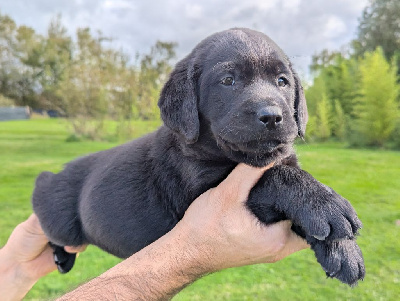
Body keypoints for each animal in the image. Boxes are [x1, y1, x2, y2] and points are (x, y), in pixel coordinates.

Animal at [32, 29, 364, 284]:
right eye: (228, 80)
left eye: (282, 81)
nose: (272, 116)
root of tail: (52, 175)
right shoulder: (203, 188)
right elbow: (275, 177)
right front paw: (325, 205)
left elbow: (284, 172)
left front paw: (342, 251)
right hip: (61, 219)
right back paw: (60, 254)